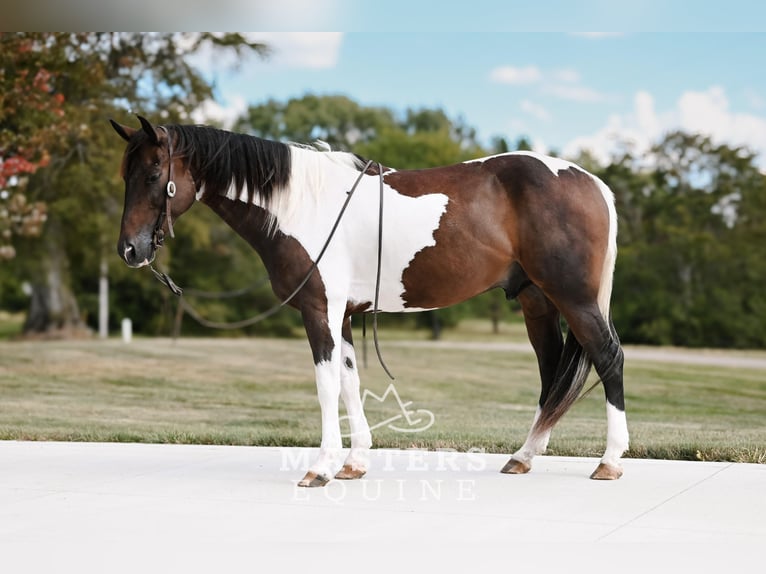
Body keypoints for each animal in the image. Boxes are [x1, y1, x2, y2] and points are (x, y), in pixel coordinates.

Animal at [110, 115, 628, 487]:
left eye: (154, 173)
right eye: (125, 174)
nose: (130, 250)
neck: (301, 206)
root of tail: (594, 183)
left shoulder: (319, 312)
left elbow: (325, 386)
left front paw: (320, 467)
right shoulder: (341, 316)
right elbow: (348, 382)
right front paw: (354, 463)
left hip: (574, 299)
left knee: (608, 358)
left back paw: (609, 461)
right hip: (538, 302)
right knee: (552, 374)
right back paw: (523, 456)